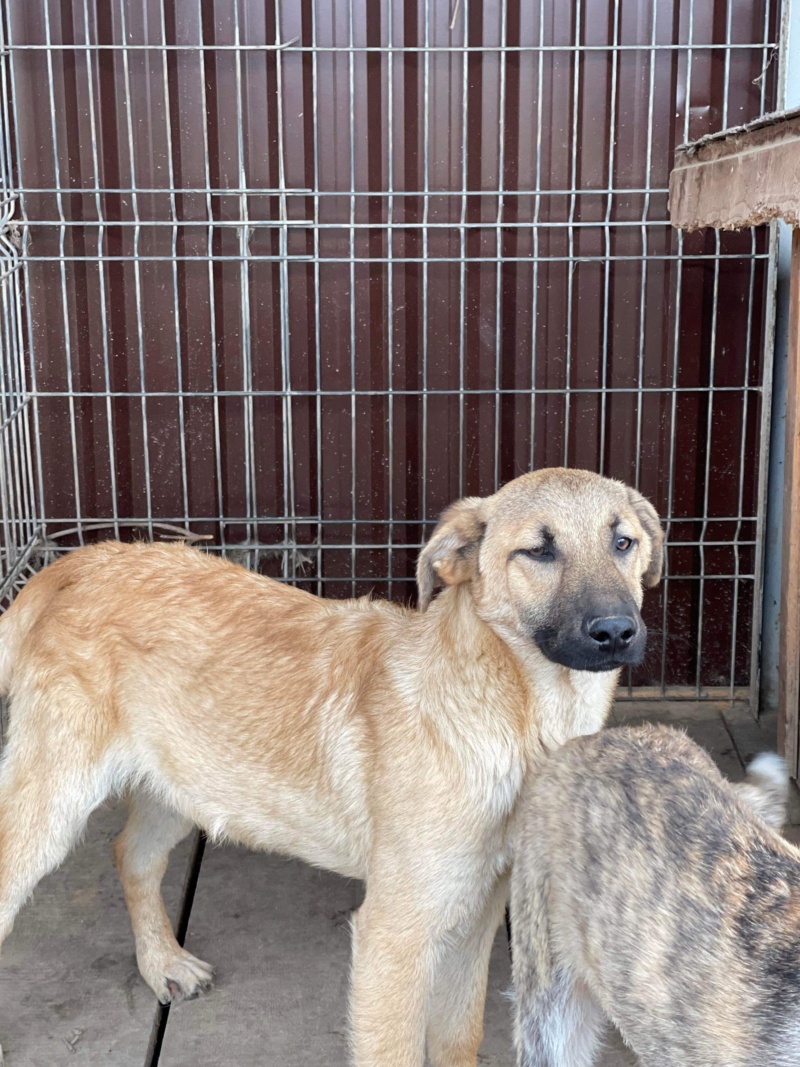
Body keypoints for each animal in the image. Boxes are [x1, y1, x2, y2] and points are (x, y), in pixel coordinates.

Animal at [0, 471, 665, 1062]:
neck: (514, 713)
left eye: (623, 542)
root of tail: (79, 561)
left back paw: (162, 963)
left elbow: (459, 1038)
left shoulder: (474, 919)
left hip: (188, 781)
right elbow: (395, 1051)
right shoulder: (394, 935)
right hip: (52, 803)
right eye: (538, 550)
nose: (616, 631)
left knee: (131, 855)